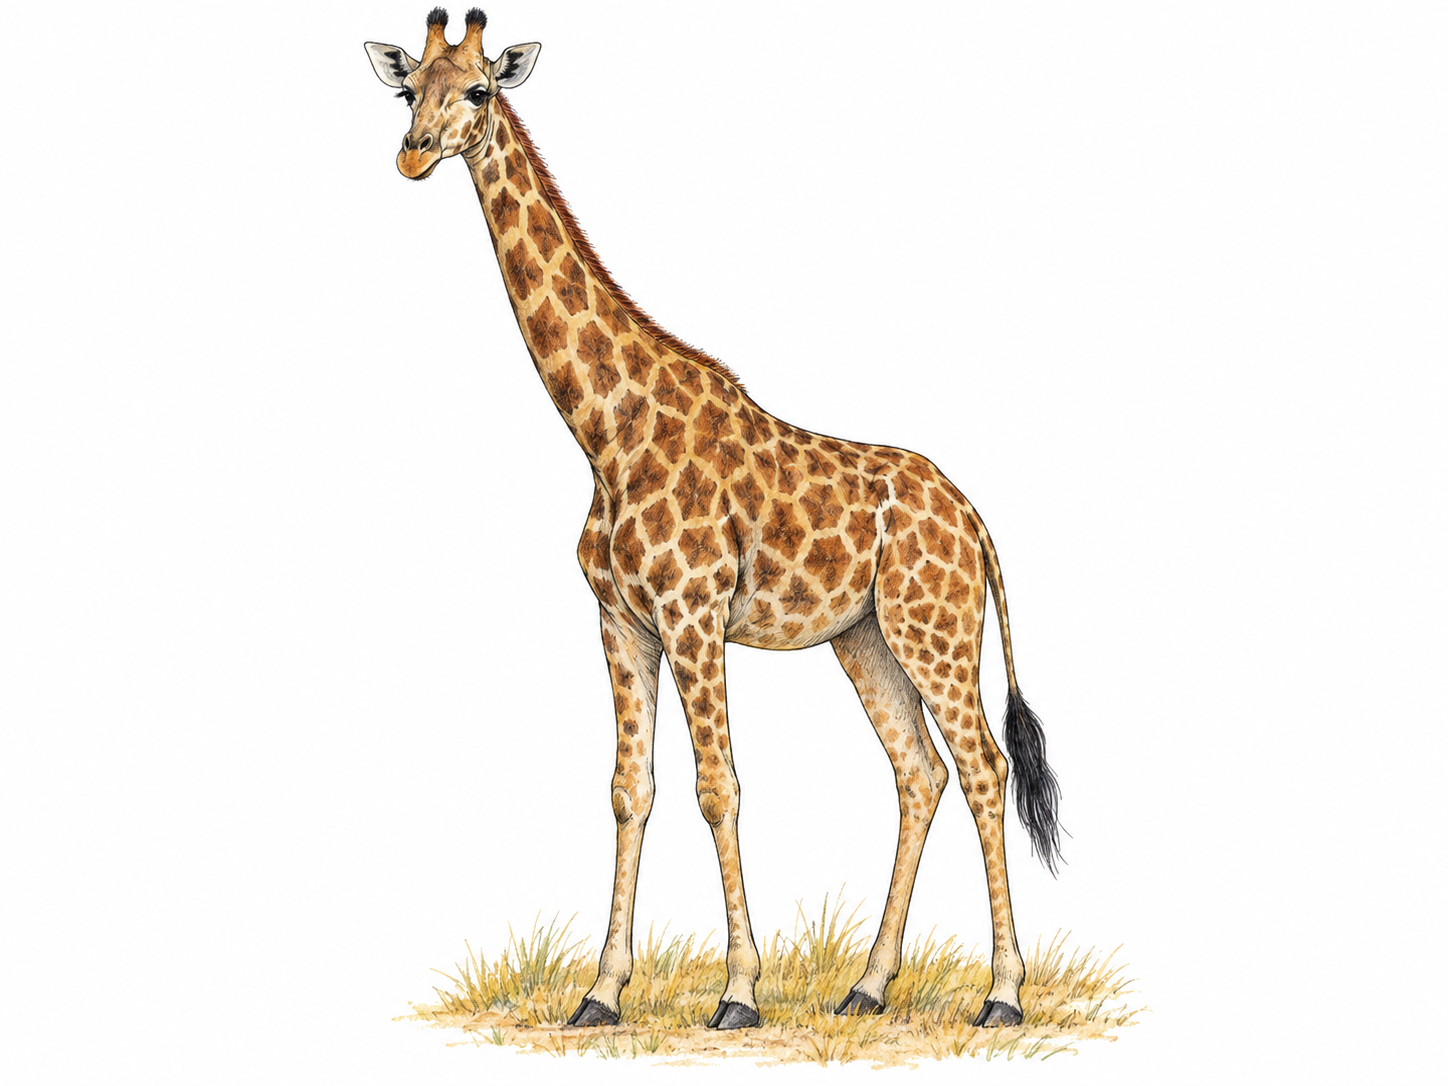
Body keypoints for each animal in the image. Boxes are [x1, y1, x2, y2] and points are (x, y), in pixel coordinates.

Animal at [366, 8, 1062, 1031]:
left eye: (480, 90)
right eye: (409, 88)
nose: (413, 154)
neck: (605, 433)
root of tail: (973, 519)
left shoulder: (694, 617)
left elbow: (716, 787)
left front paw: (738, 991)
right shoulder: (621, 620)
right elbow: (630, 790)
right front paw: (601, 994)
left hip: (933, 629)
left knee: (982, 766)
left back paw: (1002, 996)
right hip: (865, 639)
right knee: (920, 773)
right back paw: (866, 985)